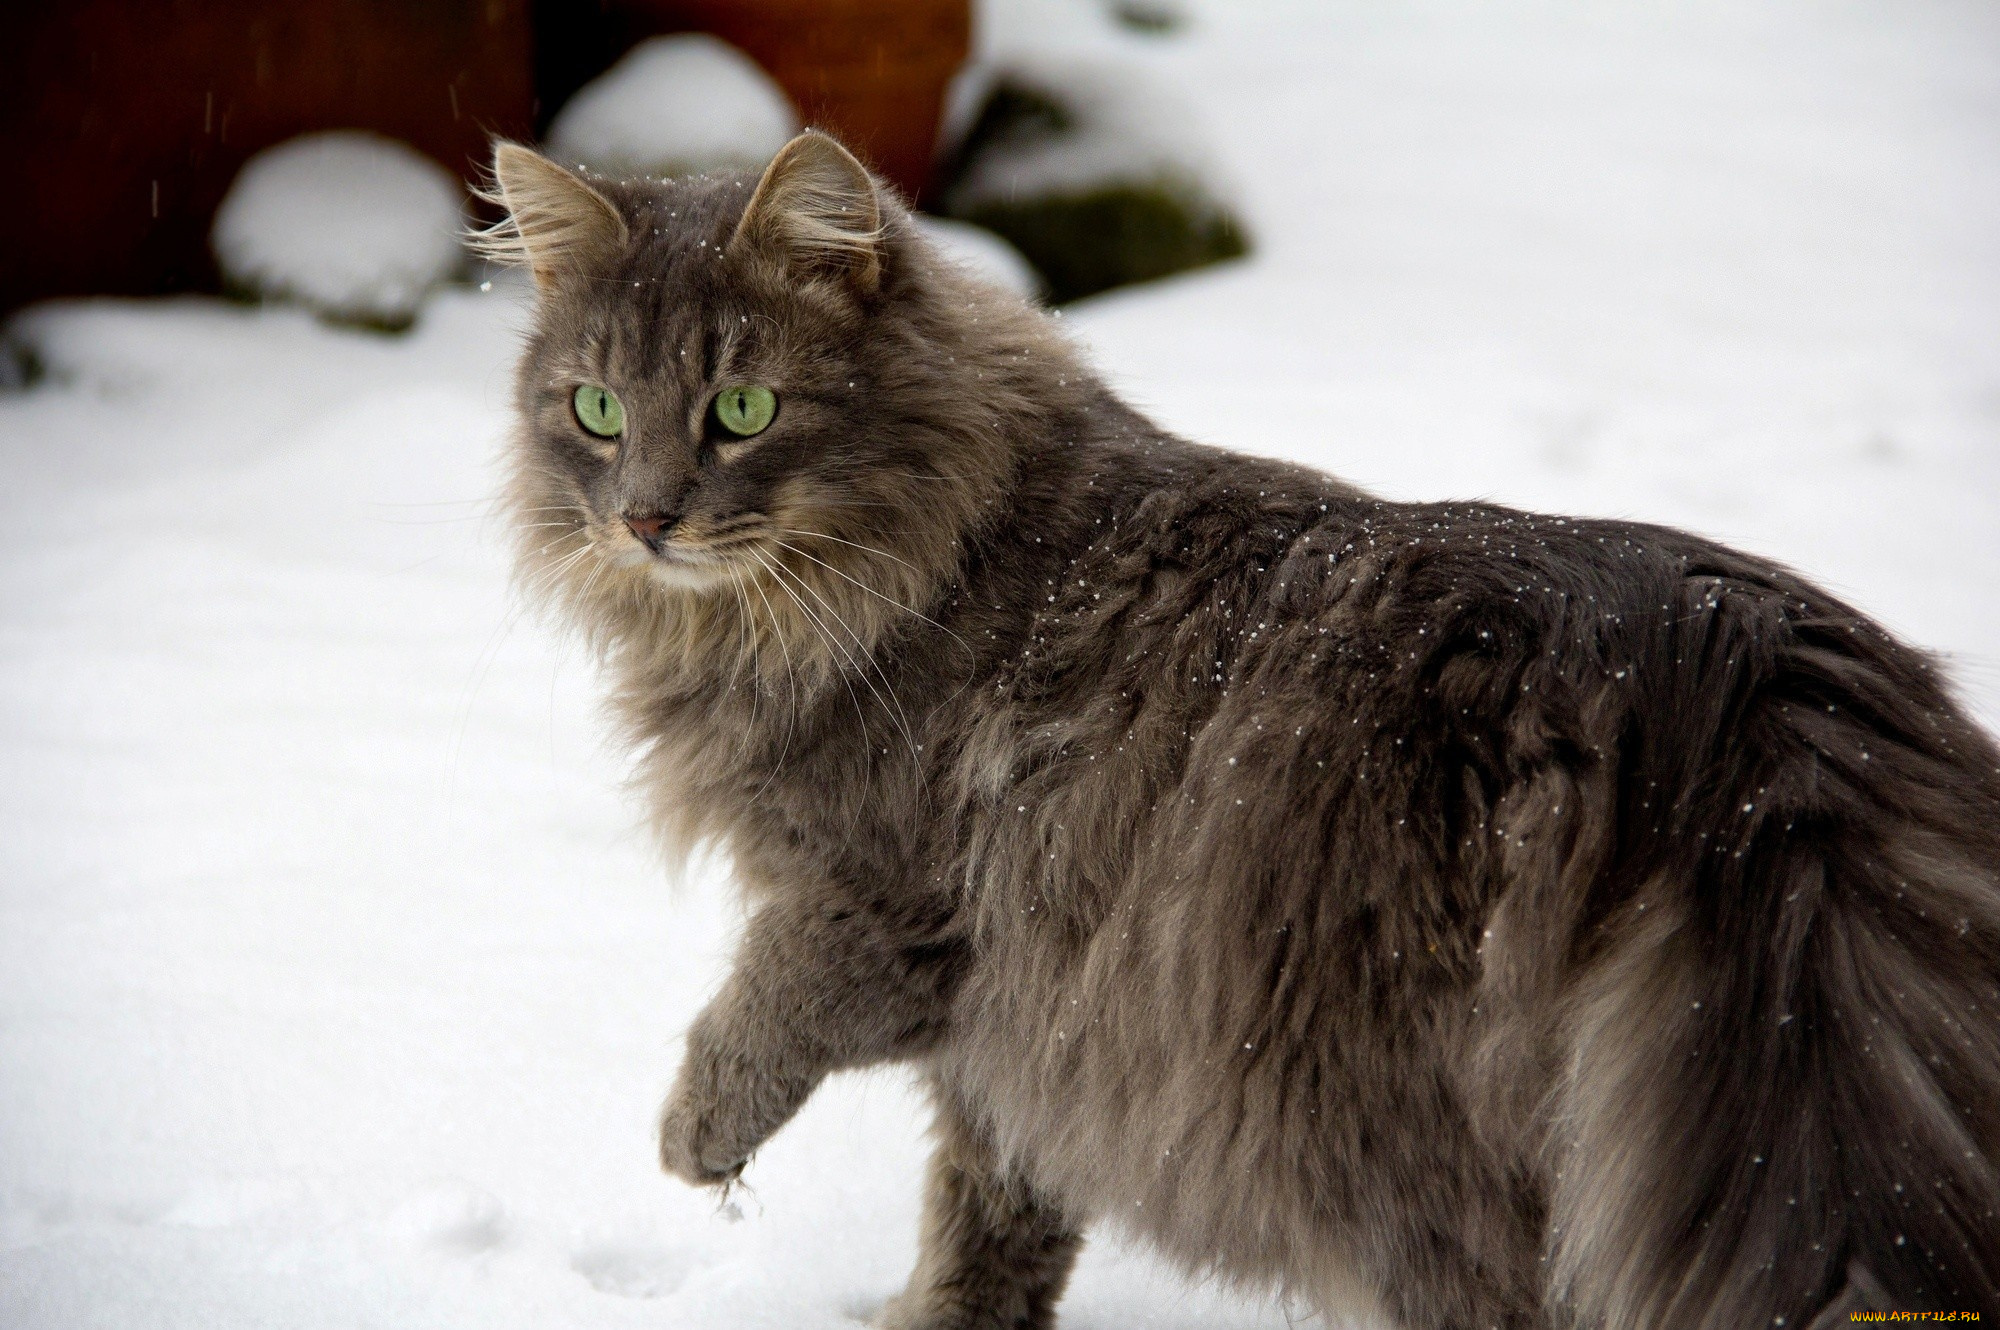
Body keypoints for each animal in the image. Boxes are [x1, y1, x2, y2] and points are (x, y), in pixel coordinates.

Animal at [484, 130, 2000, 1320]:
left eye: (742, 410)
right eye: (597, 410)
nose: (645, 517)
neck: (941, 544)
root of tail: (1726, 657)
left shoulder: (889, 902)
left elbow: (763, 1009)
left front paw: (695, 1135)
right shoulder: (1031, 1011)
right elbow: (990, 1210)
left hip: (1395, 1151)